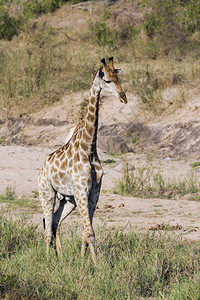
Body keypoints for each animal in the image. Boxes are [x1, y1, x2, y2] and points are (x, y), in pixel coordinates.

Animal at [38, 56, 127, 262]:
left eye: (118, 78)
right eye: (107, 80)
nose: (123, 97)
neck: (89, 149)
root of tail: (42, 168)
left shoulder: (93, 192)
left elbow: (87, 232)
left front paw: (85, 260)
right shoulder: (81, 191)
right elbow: (90, 232)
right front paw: (96, 264)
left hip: (67, 200)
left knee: (54, 222)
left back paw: (60, 257)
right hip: (47, 193)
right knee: (47, 227)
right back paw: (47, 259)